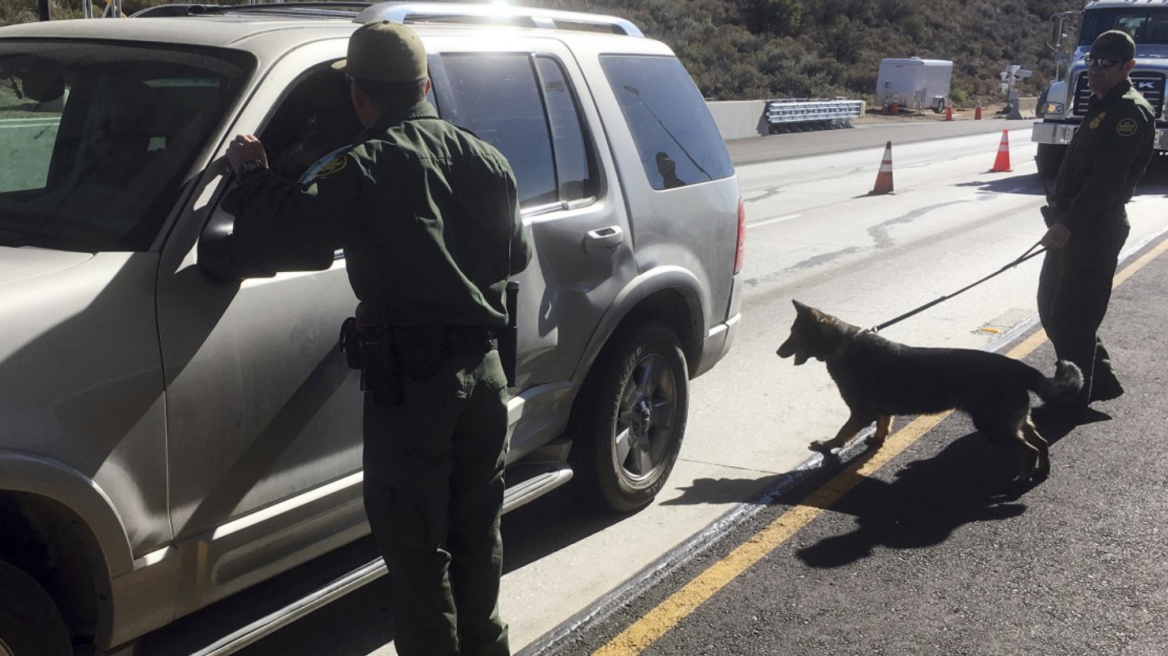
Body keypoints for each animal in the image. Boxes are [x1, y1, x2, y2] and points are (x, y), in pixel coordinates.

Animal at [775, 301, 1083, 485]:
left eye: (794, 333)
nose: (777, 352)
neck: (842, 343)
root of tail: (1017, 367)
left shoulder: (859, 413)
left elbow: (841, 434)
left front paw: (827, 446)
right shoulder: (880, 412)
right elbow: (882, 426)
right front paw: (876, 441)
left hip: (994, 427)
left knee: (1028, 451)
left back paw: (1021, 478)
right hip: (1016, 422)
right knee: (1041, 443)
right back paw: (1042, 471)